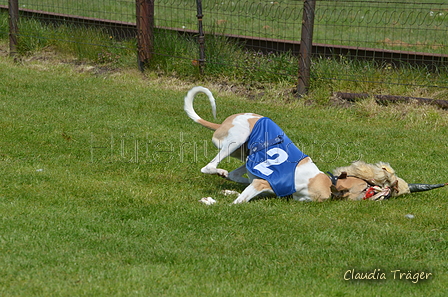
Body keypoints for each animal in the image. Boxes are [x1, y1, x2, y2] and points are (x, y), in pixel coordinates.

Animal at [183, 84, 332, 202]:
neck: (309, 177)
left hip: (245, 155)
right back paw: (219, 172)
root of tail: (221, 125)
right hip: (238, 138)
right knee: (208, 167)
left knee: (233, 175)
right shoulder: (261, 183)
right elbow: (236, 202)